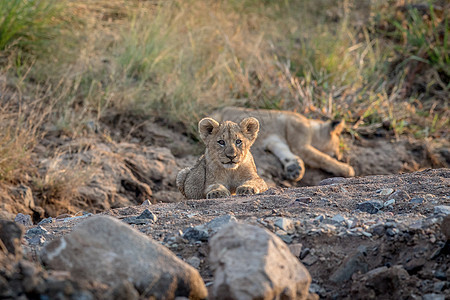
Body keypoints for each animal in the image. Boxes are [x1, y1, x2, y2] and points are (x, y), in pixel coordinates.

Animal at [213, 106, 356, 182]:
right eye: (337, 147)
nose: (339, 156)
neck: (311, 127)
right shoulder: (301, 146)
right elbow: (322, 158)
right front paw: (346, 169)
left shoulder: (276, 141)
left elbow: (285, 153)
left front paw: (294, 168)